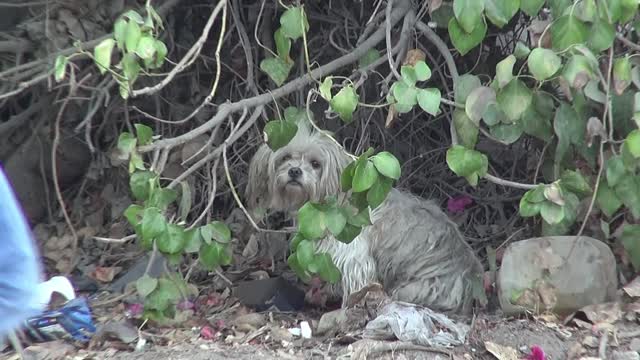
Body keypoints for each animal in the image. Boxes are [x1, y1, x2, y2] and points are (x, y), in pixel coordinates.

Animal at [246, 123, 484, 312]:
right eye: (285, 157)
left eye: (315, 164)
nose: (295, 171)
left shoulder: (353, 256)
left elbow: (355, 282)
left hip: (412, 289)